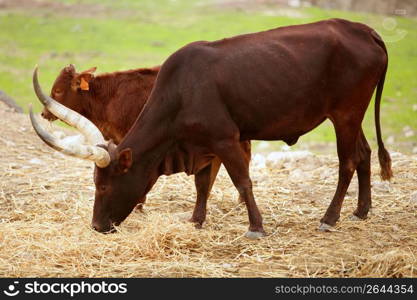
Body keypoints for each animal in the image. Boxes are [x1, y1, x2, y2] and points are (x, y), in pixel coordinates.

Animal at [31, 19, 390, 239]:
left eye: (104, 186)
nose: (96, 226)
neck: (182, 89)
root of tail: (362, 30)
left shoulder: (226, 139)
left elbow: (243, 181)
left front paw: (256, 227)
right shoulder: (202, 146)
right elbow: (203, 185)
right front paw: (196, 220)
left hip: (345, 114)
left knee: (347, 162)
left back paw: (330, 218)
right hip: (350, 116)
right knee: (364, 154)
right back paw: (361, 211)